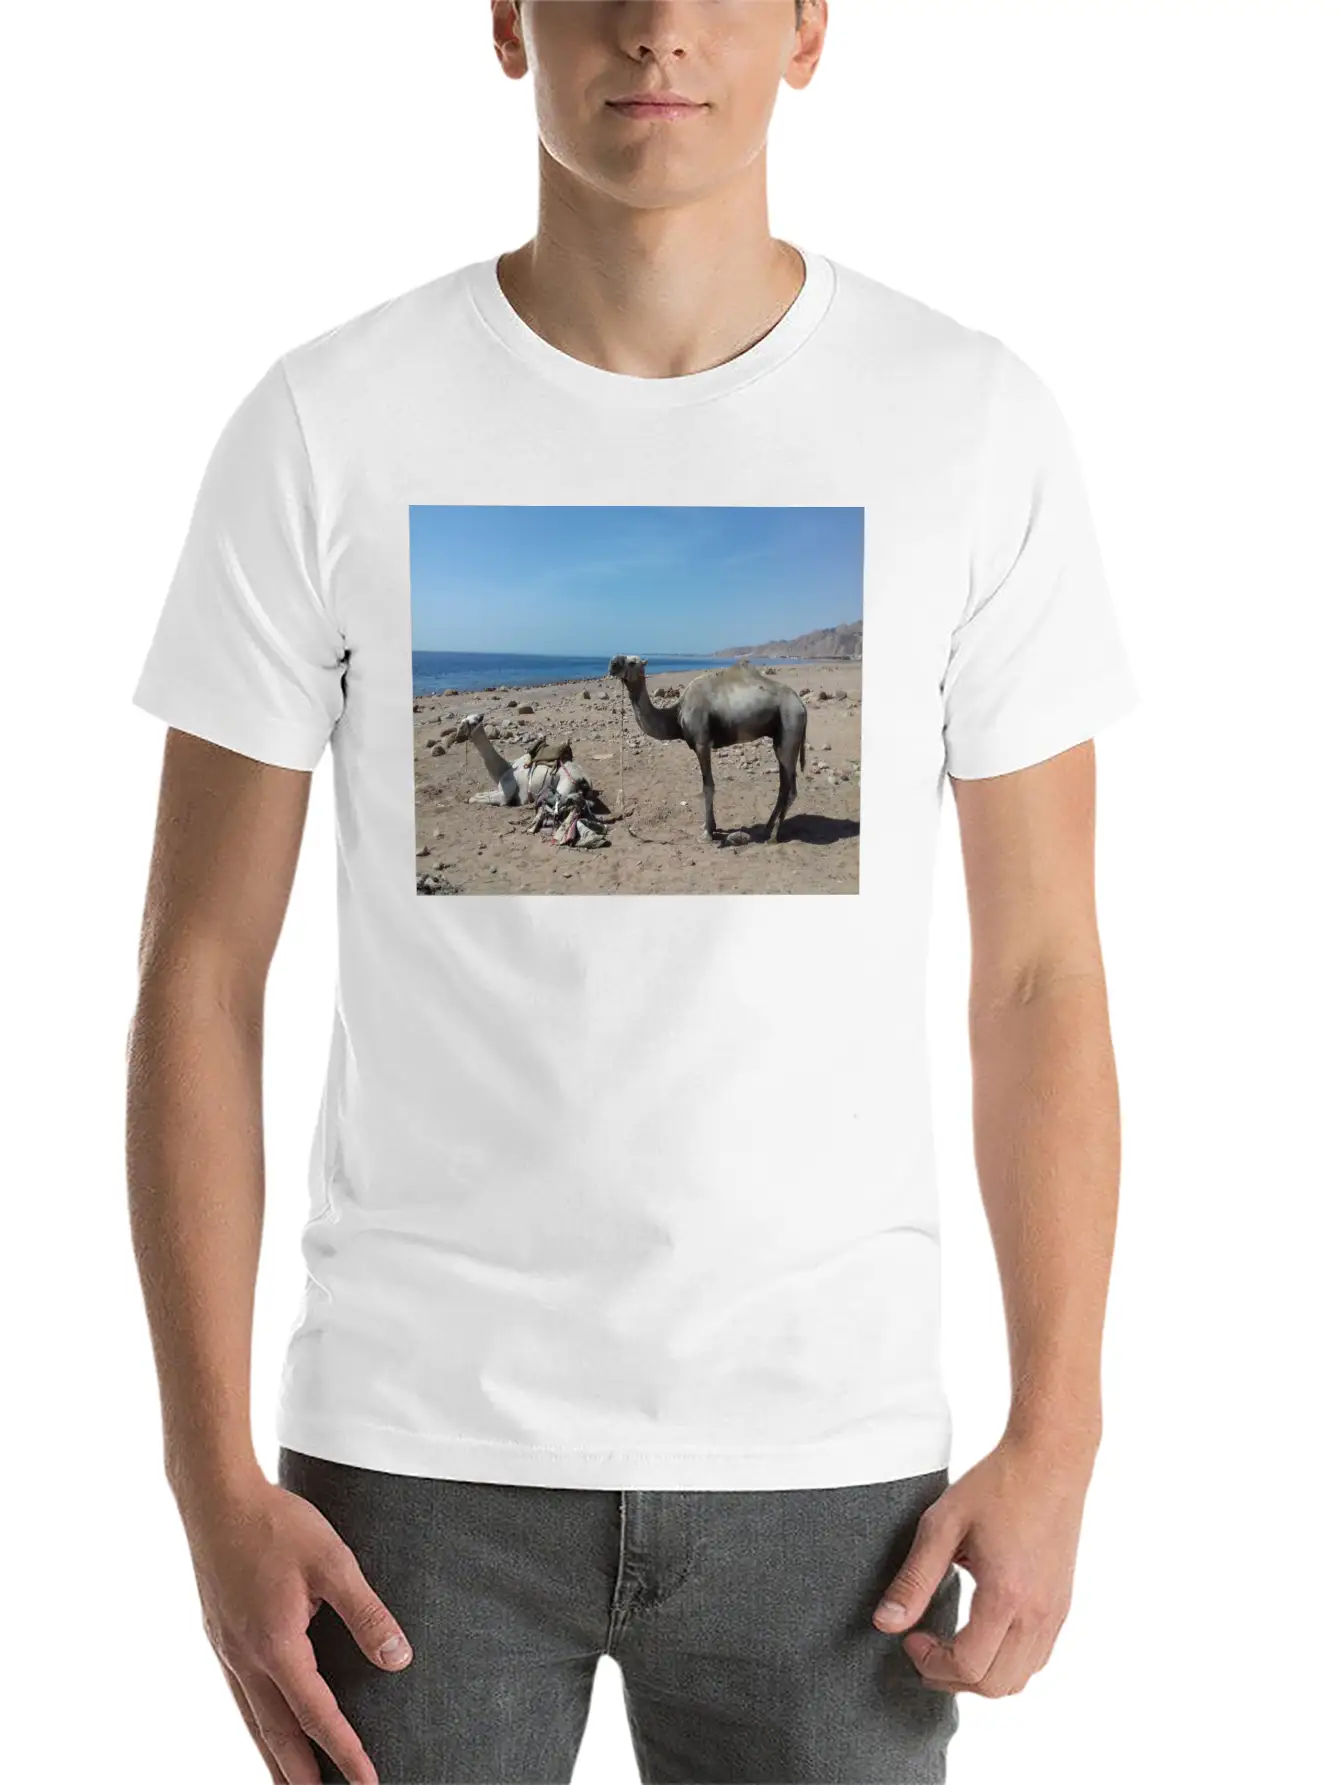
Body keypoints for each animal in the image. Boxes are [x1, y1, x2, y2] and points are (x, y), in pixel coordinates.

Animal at [446, 713, 594, 807]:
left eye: (474, 721)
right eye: (465, 720)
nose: (459, 731)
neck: (505, 769)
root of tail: (585, 779)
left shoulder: (506, 793)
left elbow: (474, 799)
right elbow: (478, 794)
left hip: (565, 787)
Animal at [607, 655, 807, 842]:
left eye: (633, 662)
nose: (612, 664)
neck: (677, 714)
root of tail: (802, 705)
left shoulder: (702, 744)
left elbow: (707, 786)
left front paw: (707, 832)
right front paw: (709, 826)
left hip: (790, 728)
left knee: (791, 788)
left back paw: (773, 836)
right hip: (779, 739)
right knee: (783, 786)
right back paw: (767, 828)